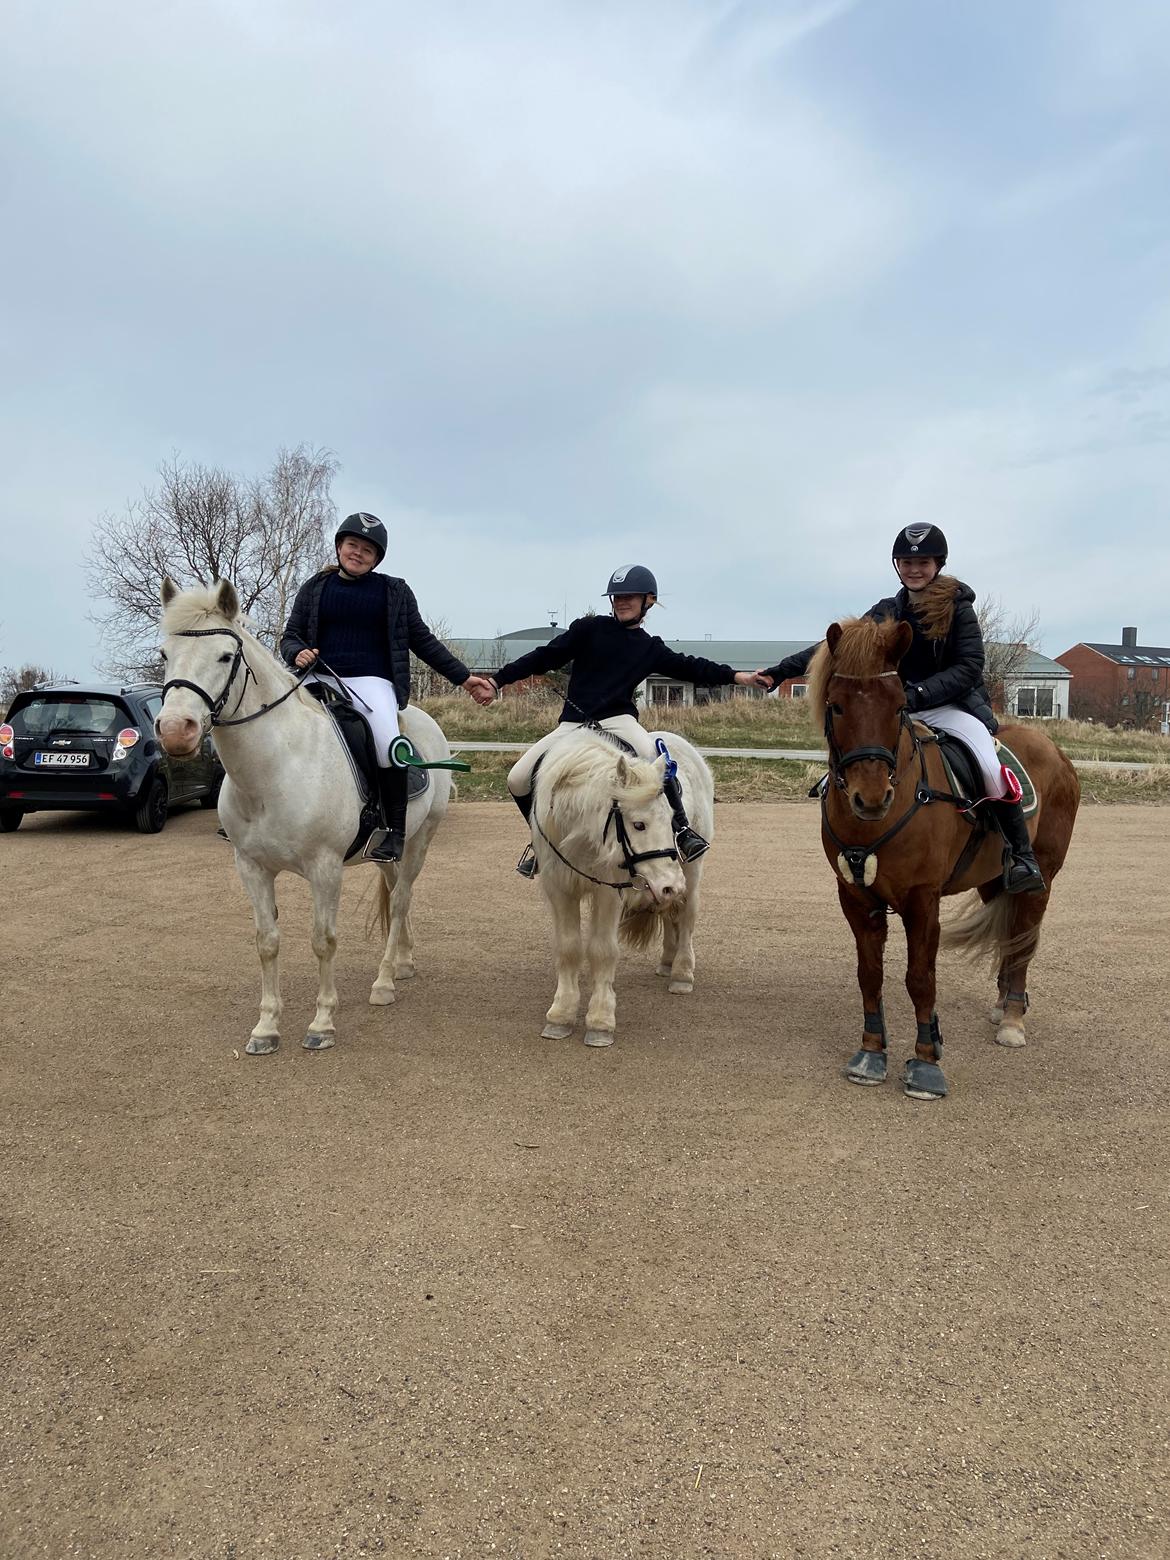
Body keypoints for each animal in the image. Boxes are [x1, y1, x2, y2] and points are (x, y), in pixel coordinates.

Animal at [159, 580, 458, 1054]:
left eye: (225, 657)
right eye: (164, 655)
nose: (175, 731)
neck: (276, 768)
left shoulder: (325, 868)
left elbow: (323, 941)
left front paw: (322, 1024)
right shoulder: (251, 867)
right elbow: (266, 942)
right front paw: (265, 1028)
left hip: (420, 840)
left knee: (402, 898)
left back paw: (385, 982)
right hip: (390, 851)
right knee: (398, 896)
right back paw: (403, 963)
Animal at [530, 726, 714, 1048]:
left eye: (671, 818)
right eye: (638, 824)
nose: (672, 885)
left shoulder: (608, 890)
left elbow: (602, 950)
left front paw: (600, 1022)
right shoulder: (559, 888)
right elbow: (568, 948)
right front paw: (560, 1016)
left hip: (690, 873)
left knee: (686, 917)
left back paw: (681, 973)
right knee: (671, 915)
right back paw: (667, 961)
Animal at [817, 614, 1079, 1104]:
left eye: (900, 707)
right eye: (837, 706)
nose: (871, 798)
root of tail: (1052, 748)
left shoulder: (923, 901)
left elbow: (920, 978)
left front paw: (925, 1063)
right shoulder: (856, 898)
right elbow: (870, 974)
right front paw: (871, 1052)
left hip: (1043, 879)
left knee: (1024, 938)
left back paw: (1013, 1018)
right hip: (994, 879)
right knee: (1010, 936)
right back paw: (1001, 1005)